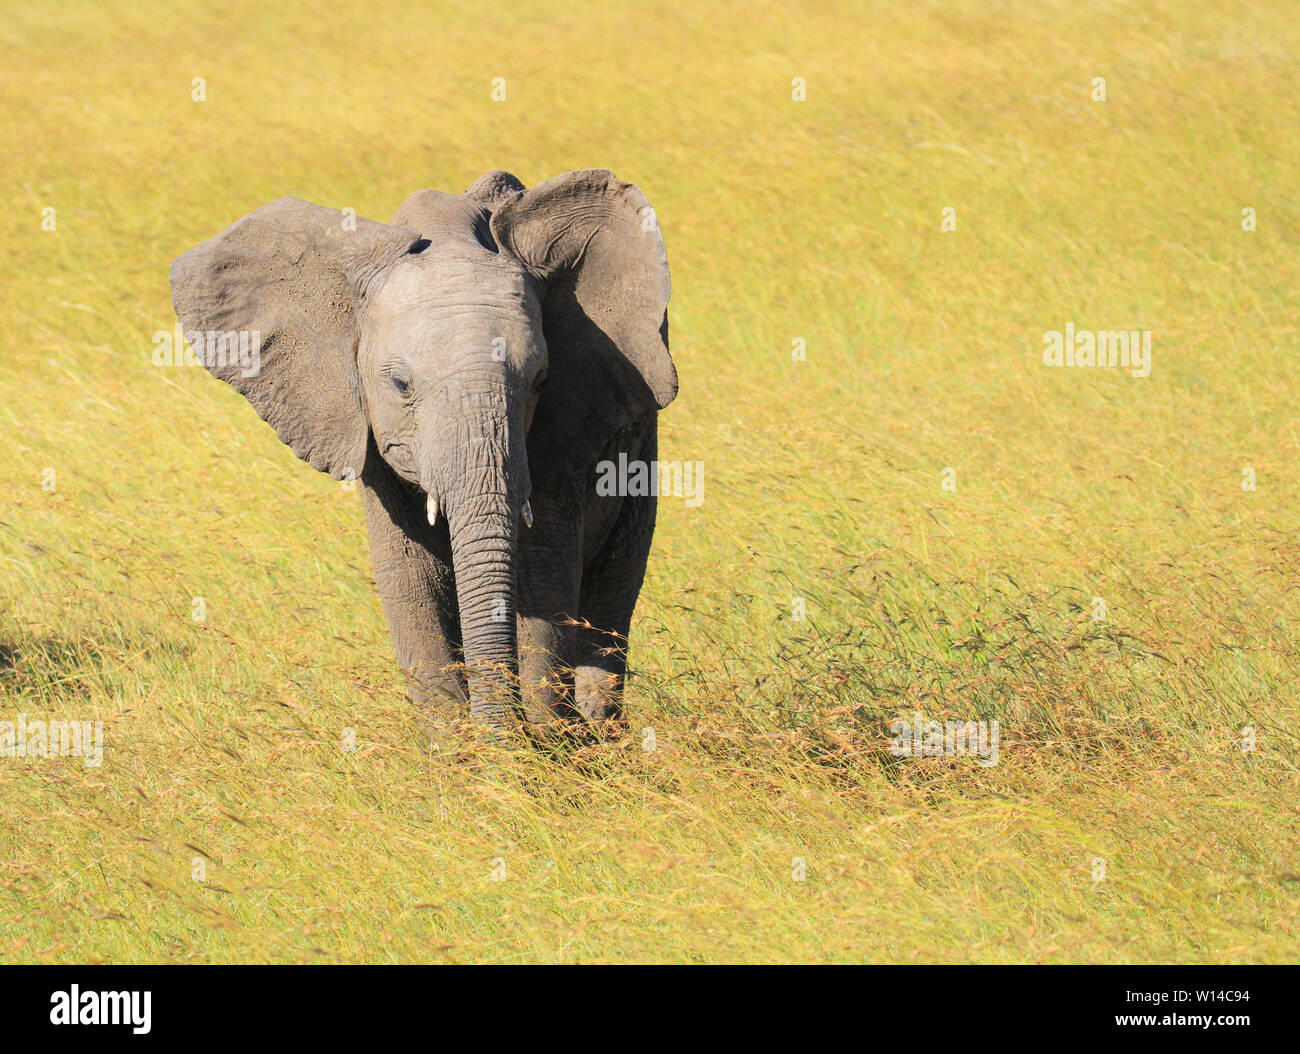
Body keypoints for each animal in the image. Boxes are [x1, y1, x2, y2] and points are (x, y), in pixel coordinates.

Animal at [170, 171, 681, 732]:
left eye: (541, 382)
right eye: (399, 384)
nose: (501, 731)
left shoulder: (562, 431)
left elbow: (543, 577)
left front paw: (540, 744)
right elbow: (412, 576)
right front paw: (457, 745)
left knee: (614, 588)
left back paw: (598, 730)